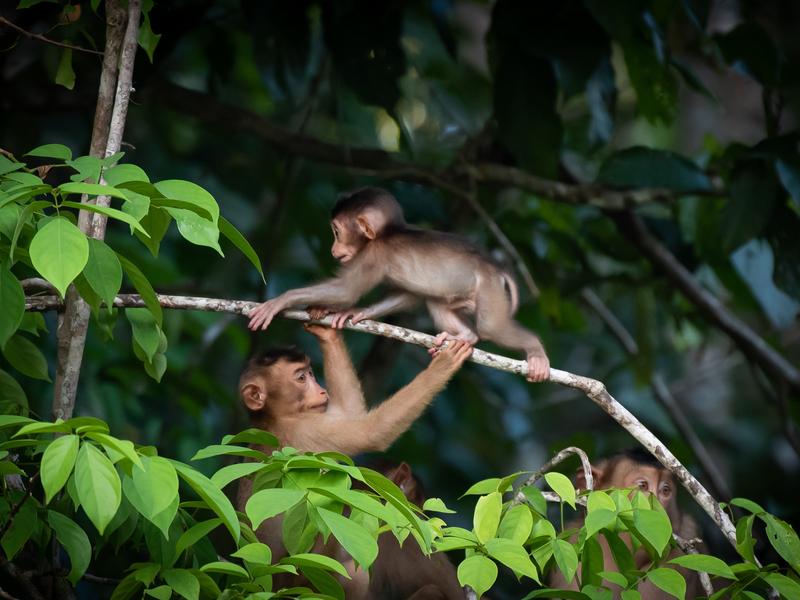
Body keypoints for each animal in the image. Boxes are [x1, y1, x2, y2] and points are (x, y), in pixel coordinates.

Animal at [247, 187, 550, 383]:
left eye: (336, 232)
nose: (334, 249)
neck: (388, 232)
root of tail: (496, 267)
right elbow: (409, 295)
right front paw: (352, 313)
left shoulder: (373, 254)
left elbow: (346, 291)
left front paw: (279, 301)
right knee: (438, 303)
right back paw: (464, 336)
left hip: (488, 288)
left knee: (491, 327)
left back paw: (535, 351)